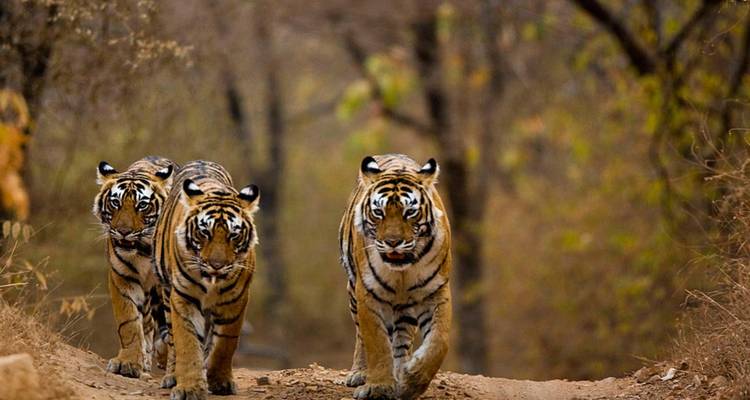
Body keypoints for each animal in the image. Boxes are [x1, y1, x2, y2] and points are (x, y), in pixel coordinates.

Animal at [93, 156, 177, 378]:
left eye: (142, 205)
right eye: (115, 203)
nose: (123, 231)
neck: (144, 248)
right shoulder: (123, 278)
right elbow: (129, 322)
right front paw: (128, 363)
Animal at [152, 160, 260, 400]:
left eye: (233, 235)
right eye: (204, 233)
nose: (216, 265)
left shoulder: (236, 300)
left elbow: (225, 345)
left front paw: (220, 382)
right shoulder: (183, 297)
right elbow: (187, 343)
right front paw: (189, 388)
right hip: (166, 292)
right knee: (172, 339)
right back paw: (171, 376)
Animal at [339, 154, 452, 400]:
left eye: (409, 212)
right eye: (378, 212)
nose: (392, 242)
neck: (403, 270)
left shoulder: (436, 291)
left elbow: (439, 341)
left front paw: (412, 381)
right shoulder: (368, 293)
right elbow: (377, 343)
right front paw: (379, 386)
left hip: (405, 307)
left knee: (401, 340)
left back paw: (401, 373)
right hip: (353, 291)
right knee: (361, 335)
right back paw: (360, 373)